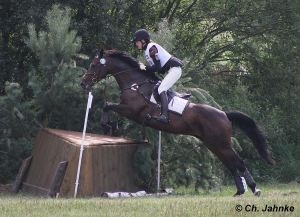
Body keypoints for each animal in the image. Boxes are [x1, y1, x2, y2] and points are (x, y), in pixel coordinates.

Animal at [80, 49, 274, 197]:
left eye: (94, 65)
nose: (83, 83)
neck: (135, 83)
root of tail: (224, 114)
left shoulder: (132, 111)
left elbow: (107, 105)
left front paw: (107, 125)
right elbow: (107, 105)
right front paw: (110, 125)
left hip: (221, 143)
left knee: (238, 162)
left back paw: (254, 189)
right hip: (214, 144)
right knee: (231, 164)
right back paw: (240, 191)